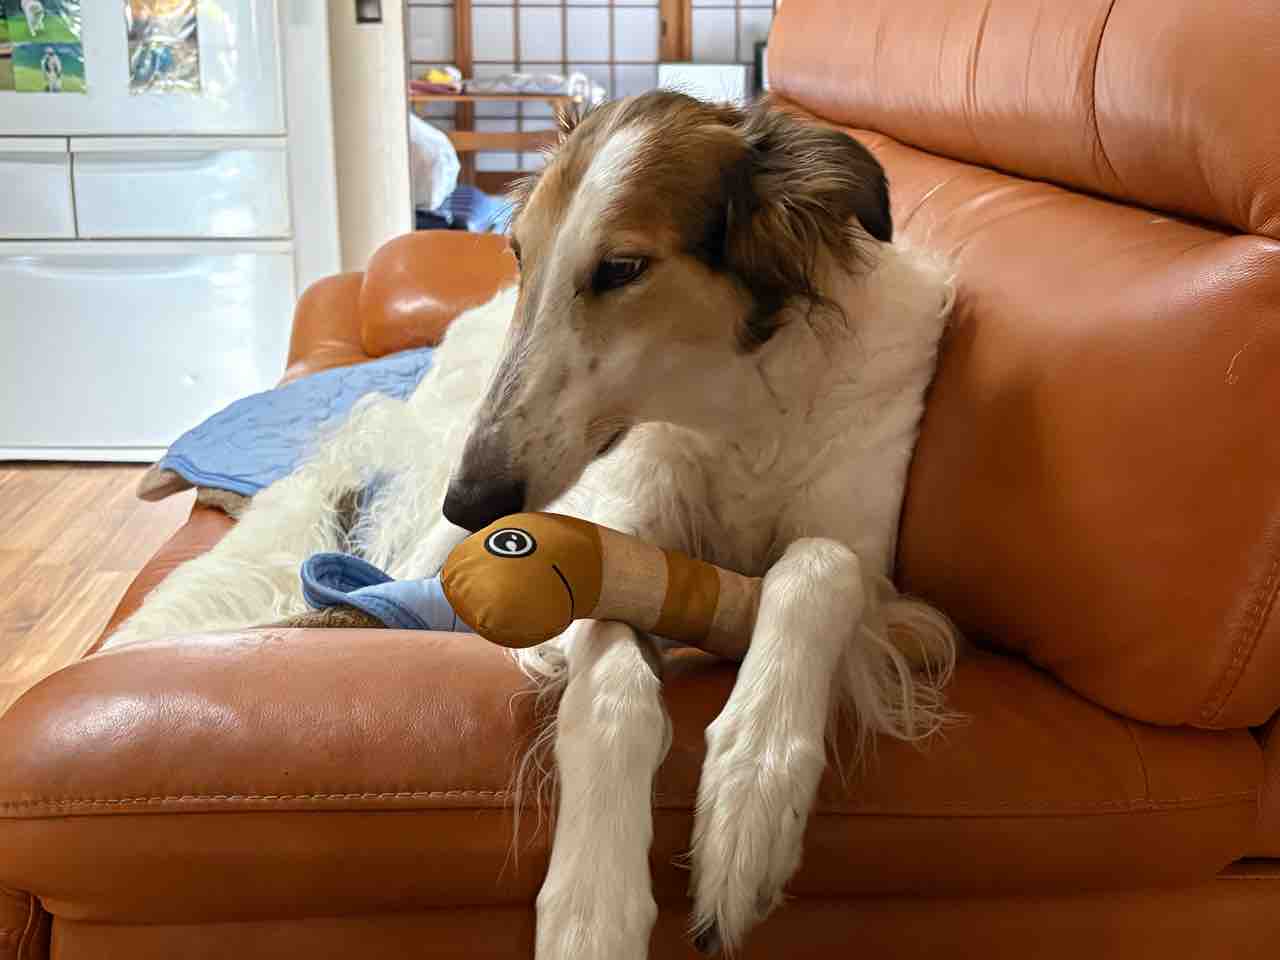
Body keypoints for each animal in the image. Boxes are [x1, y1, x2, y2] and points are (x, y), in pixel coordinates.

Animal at [105, 92, 958, 958]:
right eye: (520, 254)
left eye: (621, 269)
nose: (474, 502)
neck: (736, 417)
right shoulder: (616, 545)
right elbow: (610, 688)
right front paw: (592, 905)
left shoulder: (867, 562)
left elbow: (817, 563)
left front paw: (752, 783)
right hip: (437, 510)